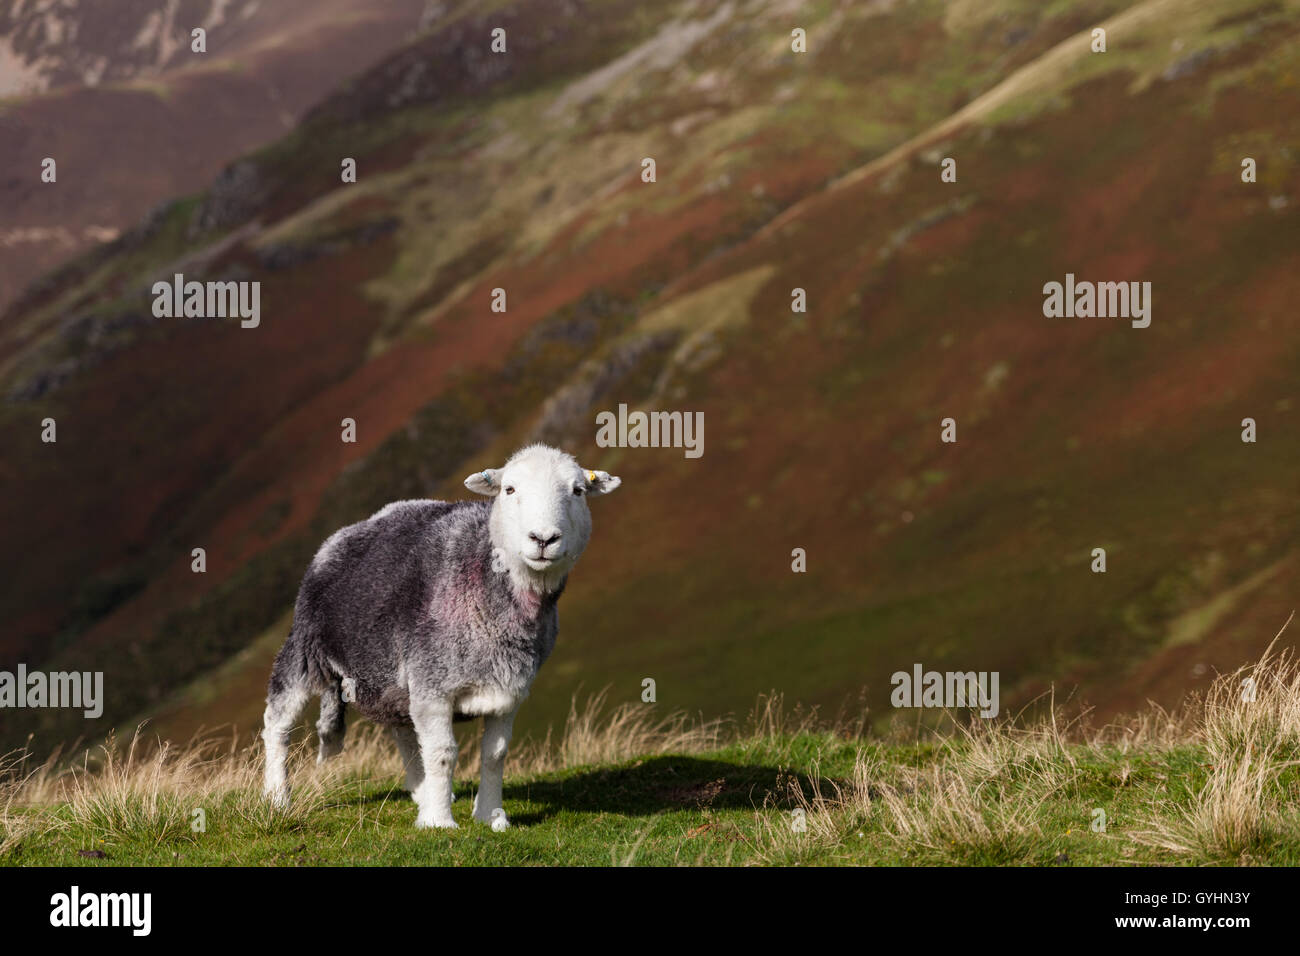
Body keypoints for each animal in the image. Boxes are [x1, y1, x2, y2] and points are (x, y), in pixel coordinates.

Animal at [261, 444, 621, 827]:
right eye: (509, 489)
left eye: (578, 491)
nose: (543, 539)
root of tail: (341, 536)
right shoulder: (432, 688)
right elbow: (442, 753)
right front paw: (438, 822)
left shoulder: (510, 692)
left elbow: (495, 755)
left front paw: (490, 816)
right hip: (304, 649)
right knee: (277, 725)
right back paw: (277, 799)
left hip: (392, 682)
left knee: (403, 733)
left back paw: (423, 792)